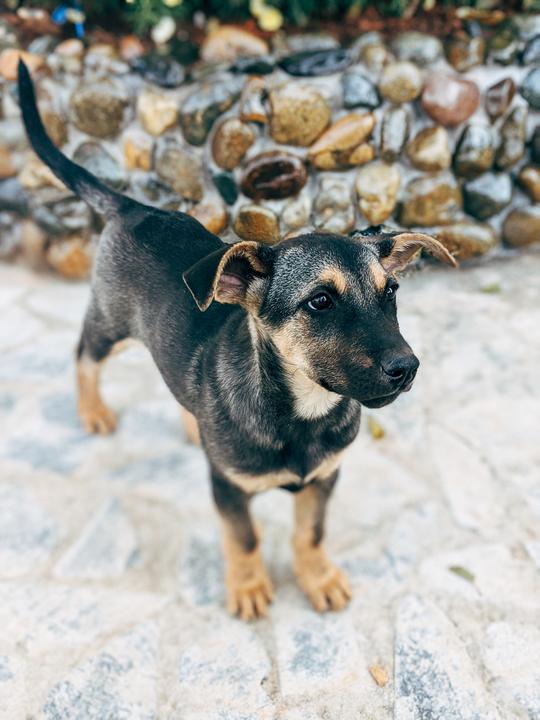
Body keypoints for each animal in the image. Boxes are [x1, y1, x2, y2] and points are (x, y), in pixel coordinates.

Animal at [17, 62, 456, 620]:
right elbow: (244, 538)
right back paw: (93, 410)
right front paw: (248, 588)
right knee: (83, 356)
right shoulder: (228, 488)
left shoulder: (325, 477)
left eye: (392, 292)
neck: (301, 411)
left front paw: (318, 578)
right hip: (110, 324)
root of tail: (134, 207)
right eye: (319, 301)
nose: (407, 367)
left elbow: (311, 533)